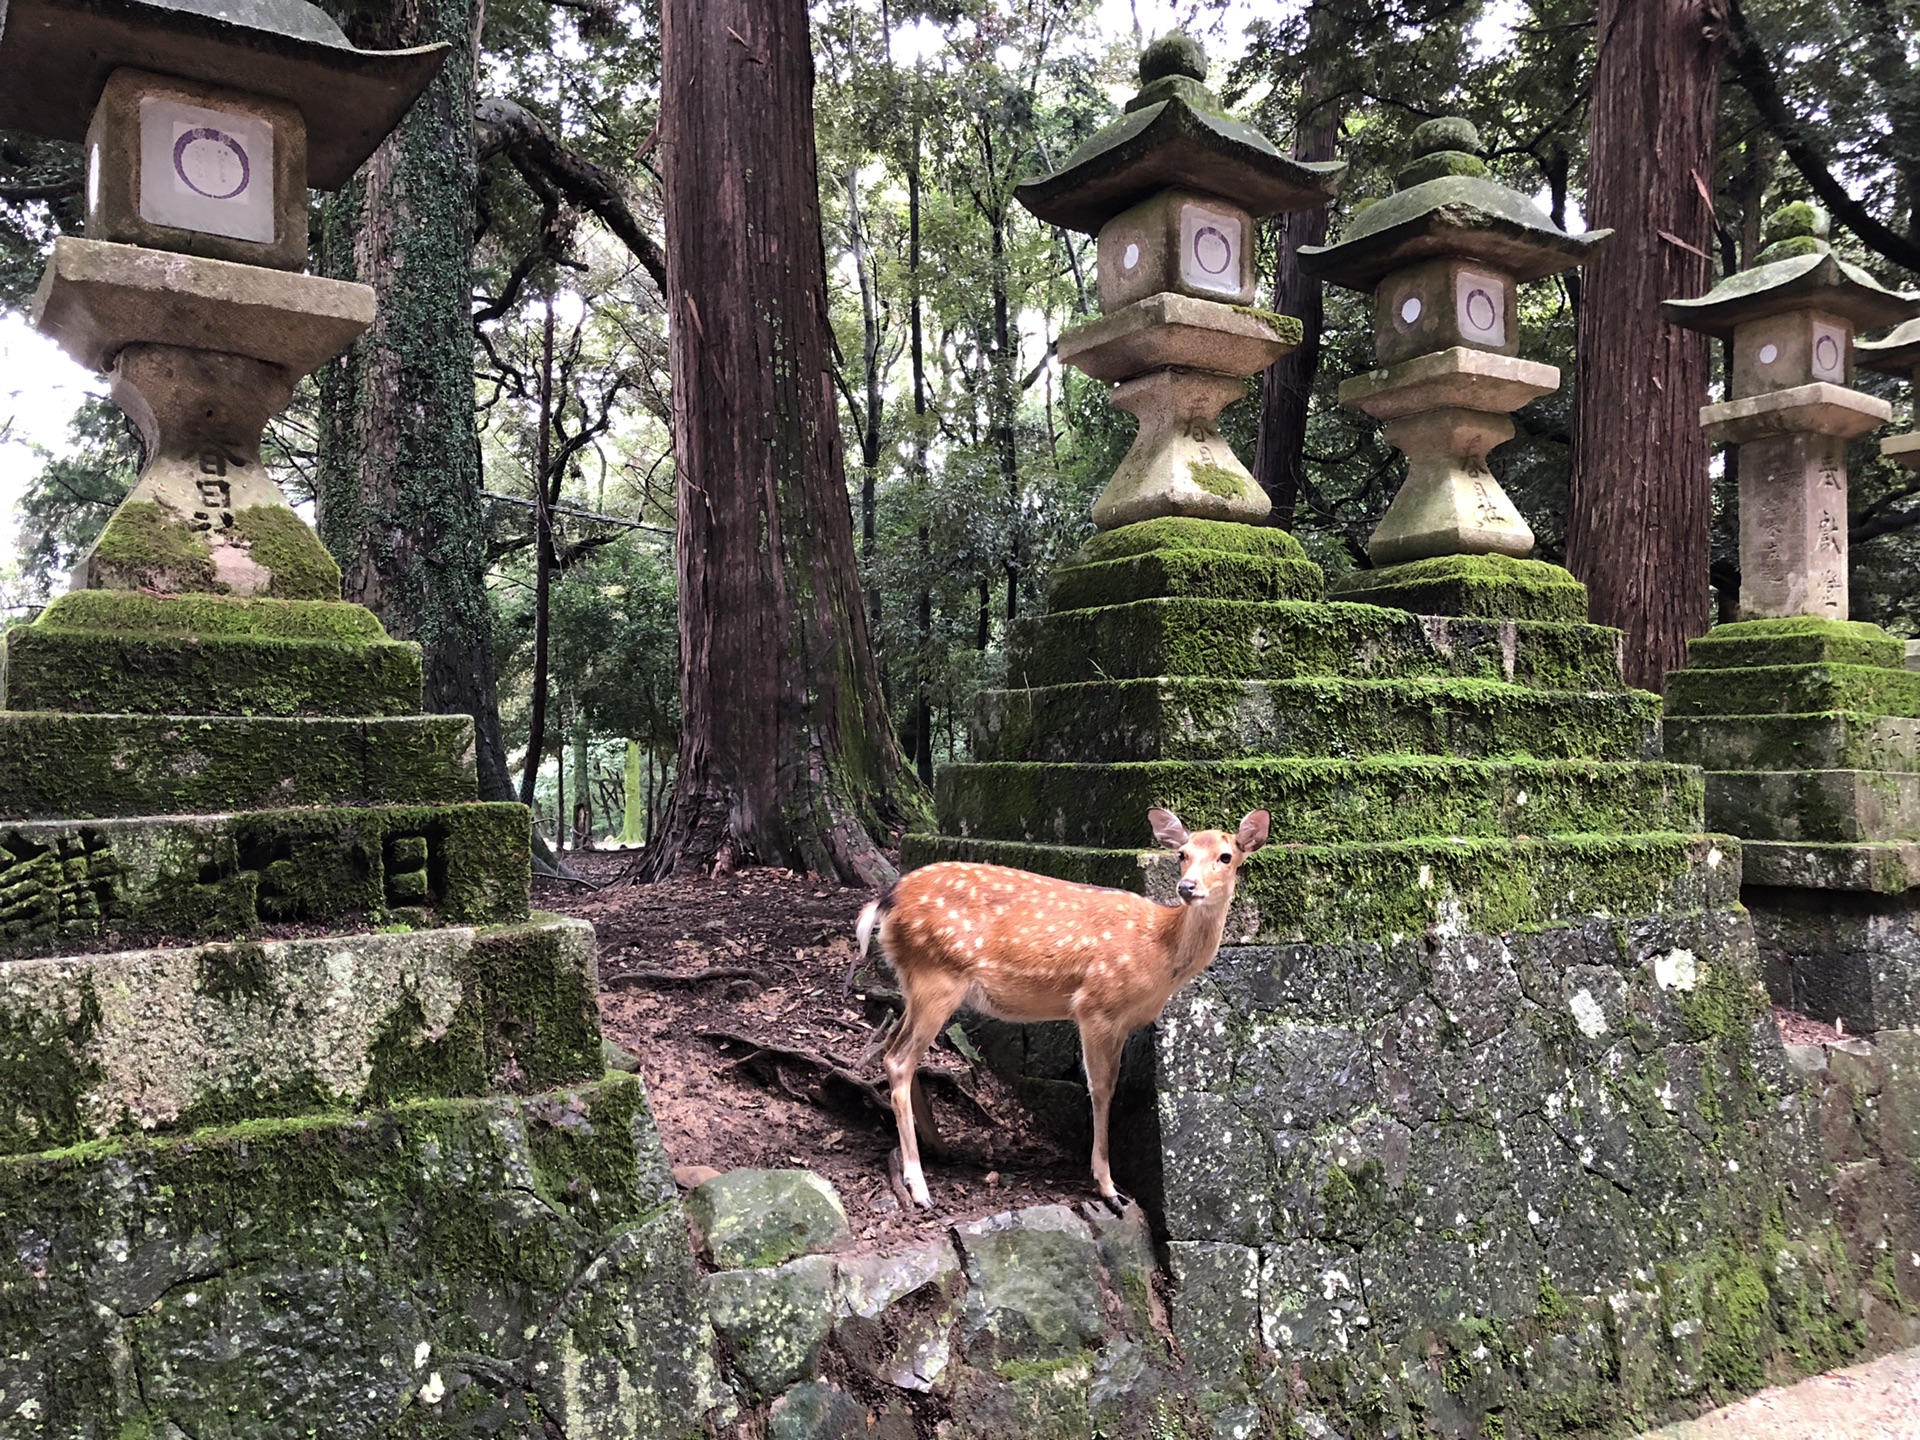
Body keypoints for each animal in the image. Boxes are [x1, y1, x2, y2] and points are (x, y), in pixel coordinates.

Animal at [848, 806, 1267, 1213]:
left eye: (1225, 857)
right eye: (1182, 854)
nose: (1187, 887)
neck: (1158, 950)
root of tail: (886, 900)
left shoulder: (1123, 1021)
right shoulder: (1096, 1005)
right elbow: (1101, 1089)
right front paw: (1108, 1187)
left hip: (915, 981)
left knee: (893, 1044)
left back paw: (938, 1146)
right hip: (937, 977)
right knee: (899, 1059)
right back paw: (918, 1186)